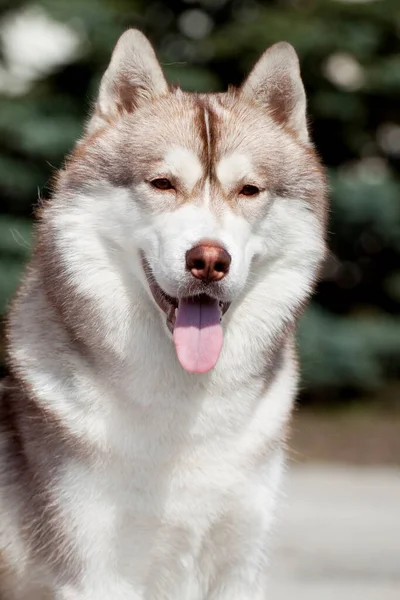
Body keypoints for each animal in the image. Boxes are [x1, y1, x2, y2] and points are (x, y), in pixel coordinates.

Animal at [0, 29, 326, 600]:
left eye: (249, 190)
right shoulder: (94, 569)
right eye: (163, 183)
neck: (186, 411)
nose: (209, 260)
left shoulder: (240, 562)